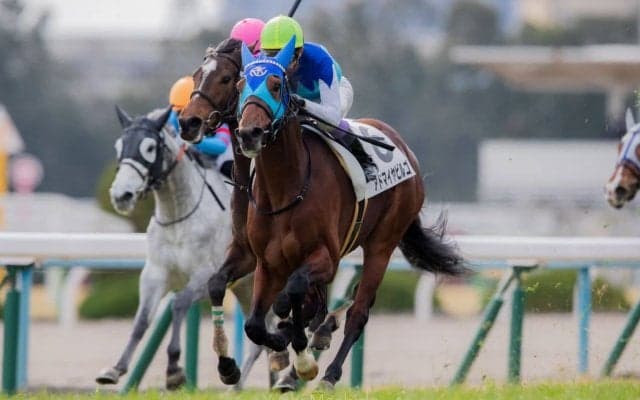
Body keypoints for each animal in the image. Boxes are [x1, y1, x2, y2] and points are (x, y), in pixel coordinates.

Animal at [96, 105, 256, 390]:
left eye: (150, 148)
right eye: (119, 146)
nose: (121, 195)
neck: (179, 215)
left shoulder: (206, 275)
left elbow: (179, 304)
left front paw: (173, 368)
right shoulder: (155, 273)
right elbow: (141, 321)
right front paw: (116, 368)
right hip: (245, 286)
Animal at [235, 39, 466, 389]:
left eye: (275, 85)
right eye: (239, 86)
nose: (249, 133)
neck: (284, 190)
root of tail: (403, 147)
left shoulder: (326, 258)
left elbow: (292, 293)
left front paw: (302, 357)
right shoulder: (268, 263)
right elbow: (255, 325)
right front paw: (284, 345)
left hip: (382, 244)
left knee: (358, 312)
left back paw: (328, 374)